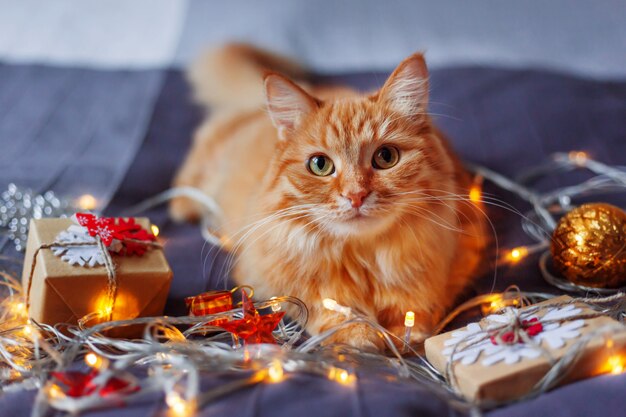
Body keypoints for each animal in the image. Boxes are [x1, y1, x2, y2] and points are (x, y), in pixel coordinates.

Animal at [172, 44, 488, 350]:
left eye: (386, 157)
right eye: (320, 165)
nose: (356, 195)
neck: (364, 259)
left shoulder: (457, 259)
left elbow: (417, 308)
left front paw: (406, 332)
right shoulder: (266, 277)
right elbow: (323, 305)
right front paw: (357, 332)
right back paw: (181, 204)